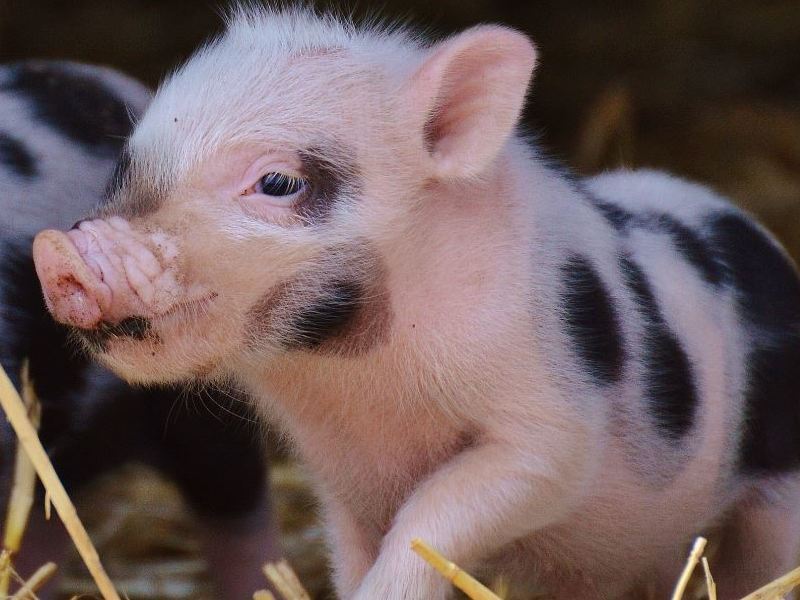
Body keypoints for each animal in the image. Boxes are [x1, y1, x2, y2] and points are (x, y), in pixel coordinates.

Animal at [28, 8, 800, 600]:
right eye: (126, 165)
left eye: (278, 182)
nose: (61, 254)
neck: (361, 386)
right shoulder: (337, 477)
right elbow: (354, 549)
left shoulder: (547, 427)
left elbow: (438, 513)